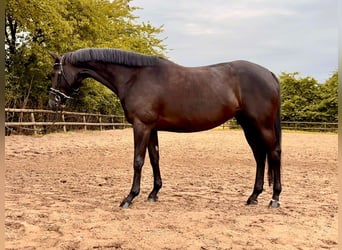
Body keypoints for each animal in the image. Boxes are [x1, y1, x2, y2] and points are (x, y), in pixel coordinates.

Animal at [49, 47, 282, 208]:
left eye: (55, 74)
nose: (53, 102)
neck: (135, 78)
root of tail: (269, 73)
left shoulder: (141, 126)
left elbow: (138, 161)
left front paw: (129, 197)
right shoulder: (151, 128)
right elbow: (154, 158)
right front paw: (153, 193)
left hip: (261, 125)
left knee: (274, 154)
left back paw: (274, 198)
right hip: (248, 126)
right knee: (260, 156)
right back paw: (253, 196)